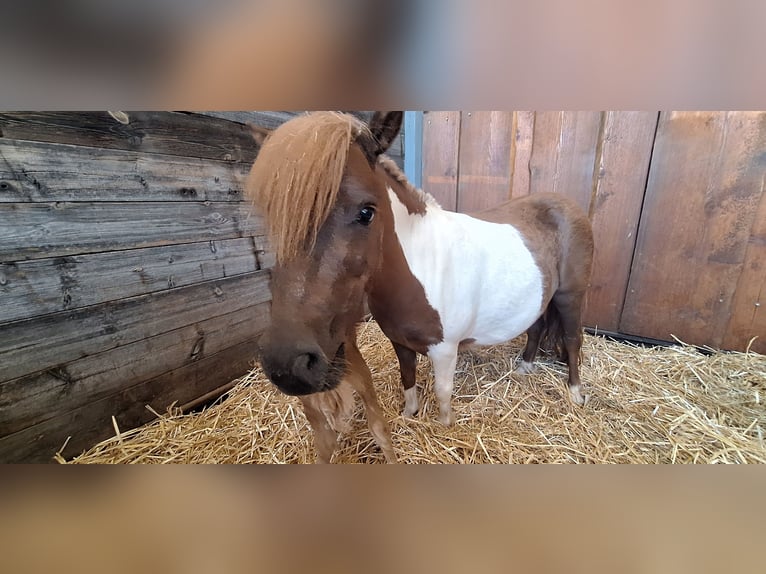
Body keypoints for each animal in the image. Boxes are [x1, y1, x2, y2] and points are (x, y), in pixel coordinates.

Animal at [246, 111, 594, 461]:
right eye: (274, 217)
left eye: (366, 212)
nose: (288, 365)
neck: (421, 267)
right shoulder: (399, 342)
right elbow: (407, 378)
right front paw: (409, 414)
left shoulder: (444, 350)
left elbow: (442, 392)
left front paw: (444, 425)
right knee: (535, 327)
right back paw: (525, 368)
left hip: (570, 297)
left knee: (572, 339)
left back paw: (575, 393)